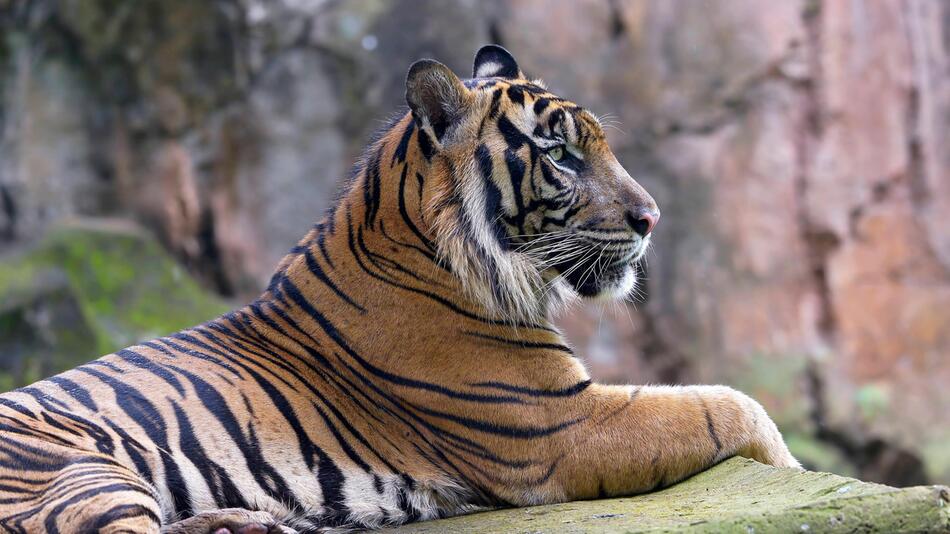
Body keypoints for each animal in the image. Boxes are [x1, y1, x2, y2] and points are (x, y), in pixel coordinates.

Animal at [0, 45, 799, 534]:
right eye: (563, 156)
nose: (652, 217)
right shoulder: (558, 426)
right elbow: (728, 406)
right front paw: (793, 465)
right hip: (85, 473)